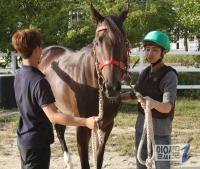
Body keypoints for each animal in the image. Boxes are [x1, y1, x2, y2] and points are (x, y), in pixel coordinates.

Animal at [39, 3, 130, 169]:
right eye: (97, 42)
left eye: (124, 42)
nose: (111, 87)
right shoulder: (82, 128)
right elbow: (85, 162)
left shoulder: (106, 125)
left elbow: (99, 159)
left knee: (60, 129)